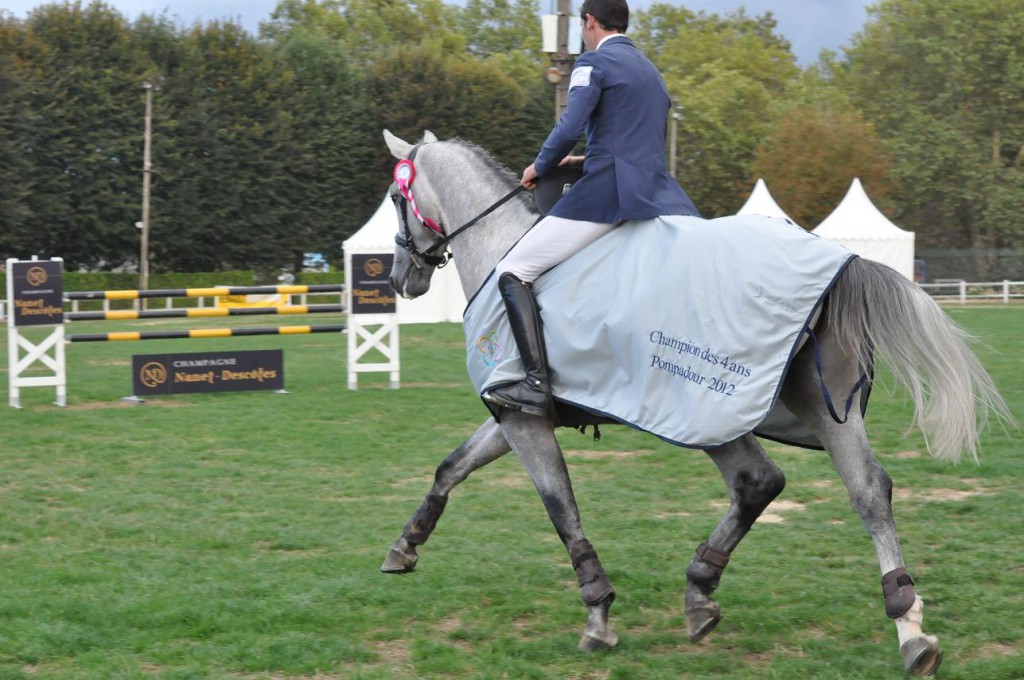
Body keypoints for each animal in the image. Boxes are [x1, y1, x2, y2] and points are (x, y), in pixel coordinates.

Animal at [376, 129, 1007, 675]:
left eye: (394, 197)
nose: (401, 278)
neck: (502, 248)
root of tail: (839, 261)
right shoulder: (511, 416)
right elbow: (451, 467)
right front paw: (405, 546)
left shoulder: (522, 416)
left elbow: (561, 510)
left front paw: (598, 614)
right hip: (808, 410)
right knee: (853, 489)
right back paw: (906, 630)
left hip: (709, 407)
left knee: (762, 481)